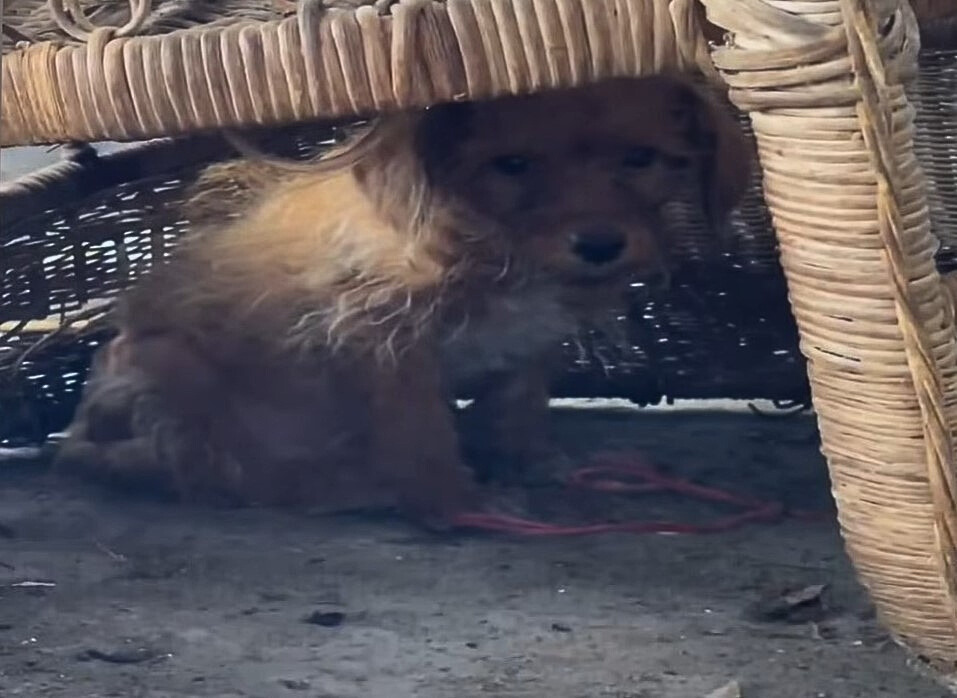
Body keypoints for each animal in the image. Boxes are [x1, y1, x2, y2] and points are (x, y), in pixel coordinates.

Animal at [56, 73, 752, 524]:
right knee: (227, 472)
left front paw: (529, 460)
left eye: (641, 158)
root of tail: (78, 432)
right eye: (514, 165)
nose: (600, 244)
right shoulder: (383, 340)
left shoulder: (528, 340)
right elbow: (420, 433)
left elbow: (519, 405)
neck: (489, 243)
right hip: (177, 373)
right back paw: (347, 483)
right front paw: (456, 503)